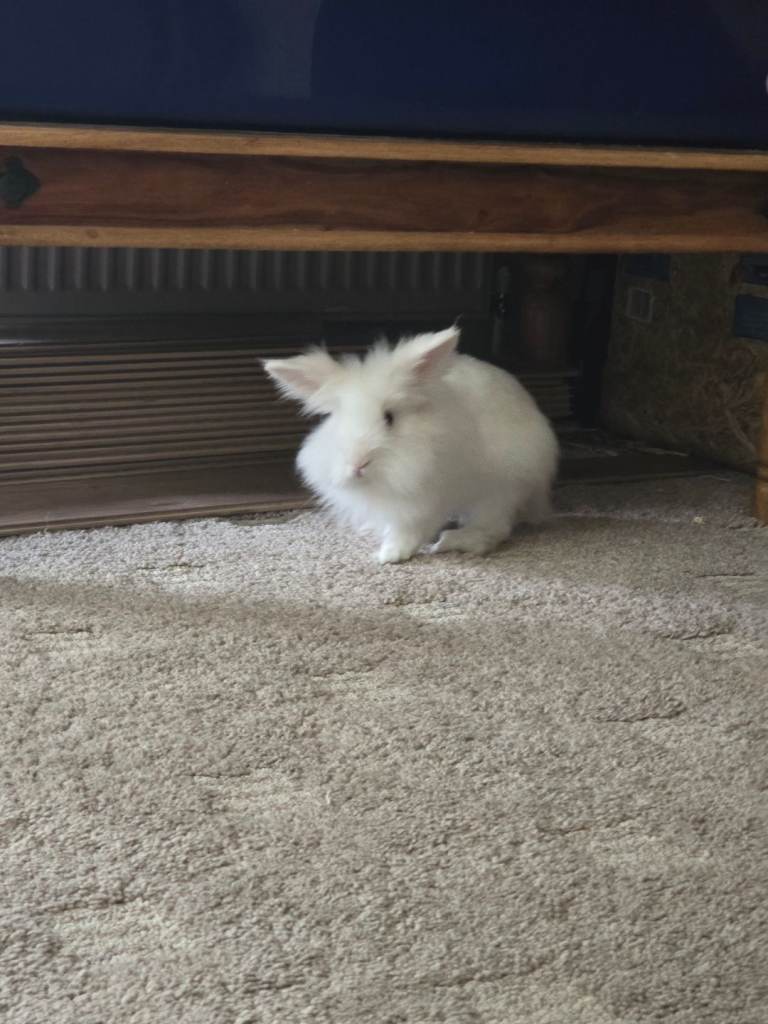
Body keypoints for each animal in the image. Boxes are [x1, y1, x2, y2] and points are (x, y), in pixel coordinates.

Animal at [263, 325, 559, 565]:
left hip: (501, 487)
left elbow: (409, 530)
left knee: (494, 527)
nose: (358, 464)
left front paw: (390, 555)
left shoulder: (426, 499)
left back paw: (455, 541)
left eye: (389, 418)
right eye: (335, 419)